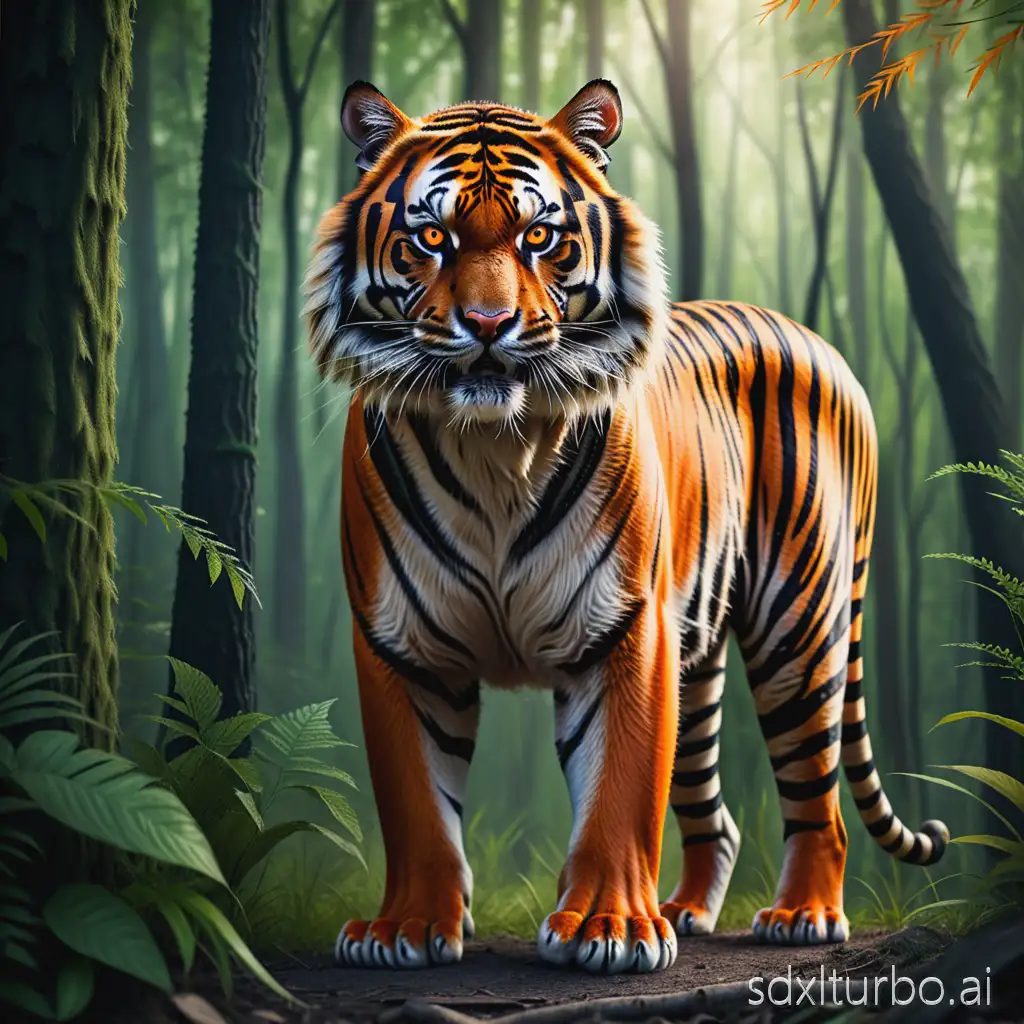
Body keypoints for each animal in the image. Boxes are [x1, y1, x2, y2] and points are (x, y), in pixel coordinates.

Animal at [304, 78, 949, 974]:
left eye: (540, 236)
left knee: (816, 793)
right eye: (429, 237)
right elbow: (416, 804)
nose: (488, 325)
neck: (494, 447)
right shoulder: (400, 640)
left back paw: (803, 915)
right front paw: (407, 928)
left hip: (801, 626)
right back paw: (685, 910)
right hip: (699, 660)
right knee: (716, 811)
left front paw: (608, 929)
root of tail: (816, 339)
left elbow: (619, 789)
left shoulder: (624, 629)